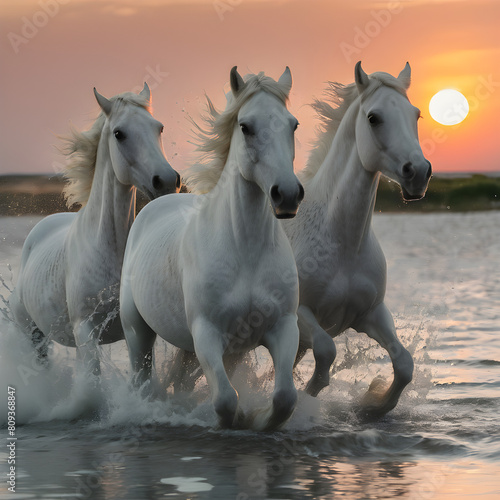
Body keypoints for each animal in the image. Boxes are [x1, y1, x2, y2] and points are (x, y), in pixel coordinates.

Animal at [9, 84, 180, 378]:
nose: (167, 180)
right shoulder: (85, 330)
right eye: (119, 133)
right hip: (33, 334)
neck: (108, 249)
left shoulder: (136, 333)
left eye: (159, 127)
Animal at [120, 67, 304, 430]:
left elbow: (285, 398)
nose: (287, 194)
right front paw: (237, 418)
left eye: (293, 124)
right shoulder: (206, 335)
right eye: (245, 126)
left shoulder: (282, 328)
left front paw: (257, 418)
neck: (245, 252)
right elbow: (225, 400)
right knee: (141, 379)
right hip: (138, 333)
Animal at [282, 61, 434, 414]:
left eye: (416, 114)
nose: (419, 173)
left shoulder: (371, 314)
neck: (343, 243)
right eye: (373, 118)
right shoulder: (302, 315)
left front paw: (373, 404)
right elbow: (326, 353)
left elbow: (404, 365)